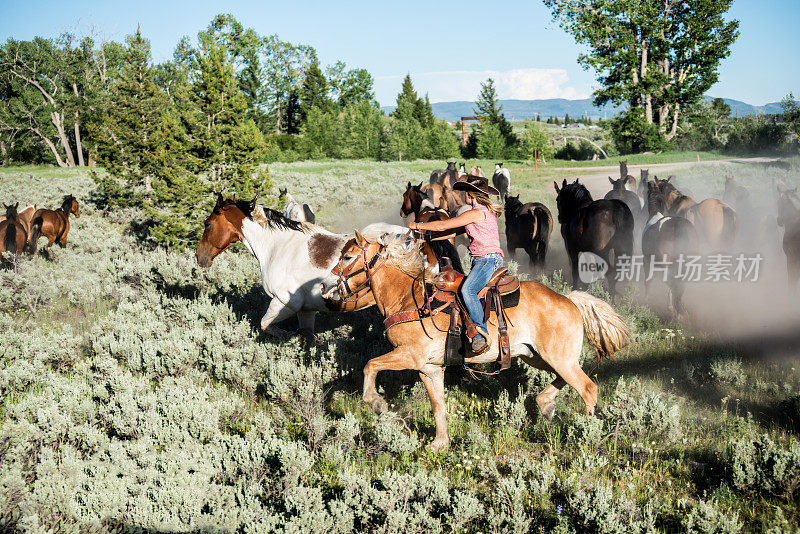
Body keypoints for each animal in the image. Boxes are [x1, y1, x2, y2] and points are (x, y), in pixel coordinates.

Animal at [320, 233, 632, 452]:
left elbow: (370, 365)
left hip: (558, 357)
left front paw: (376, 402)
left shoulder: (410, 356)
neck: (410, 300)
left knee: (587, 388)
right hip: (538, 356)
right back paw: (545, 404)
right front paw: (440, 443)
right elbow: (438, 406)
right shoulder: (429, 369)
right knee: (564, 380)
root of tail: (570, 300)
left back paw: (589, 434)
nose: (325, 285)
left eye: (347, 257)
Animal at [640, 182, 696, 320]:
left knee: (673, 284)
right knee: (679, 286)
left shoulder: (647, 260)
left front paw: (646, 305)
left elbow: (648, 281)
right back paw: (681, 311)